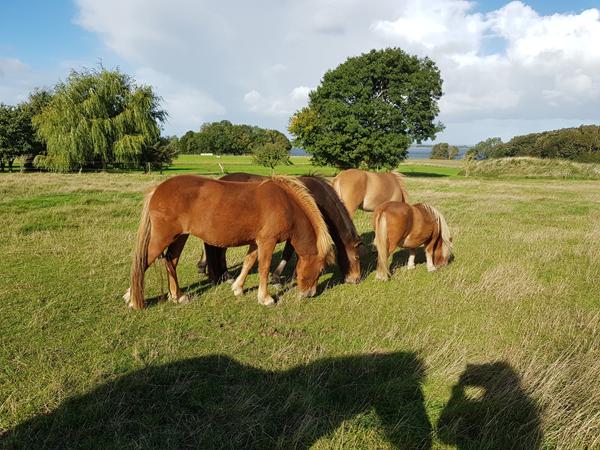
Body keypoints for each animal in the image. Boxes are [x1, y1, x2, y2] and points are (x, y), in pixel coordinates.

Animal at [124, 176, 336, 310]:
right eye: (320, 270)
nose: (309, 294)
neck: (286, 204)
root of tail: (158, 189)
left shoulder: (256, 241)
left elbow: (249, 262)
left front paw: (238, 288)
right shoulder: (268, 241)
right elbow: (264, 267)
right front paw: (265, 298)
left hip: (180, 236)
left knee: (170, 261)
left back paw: (177, 296)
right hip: (162, 237)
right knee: (143, 262)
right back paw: (134, 299)